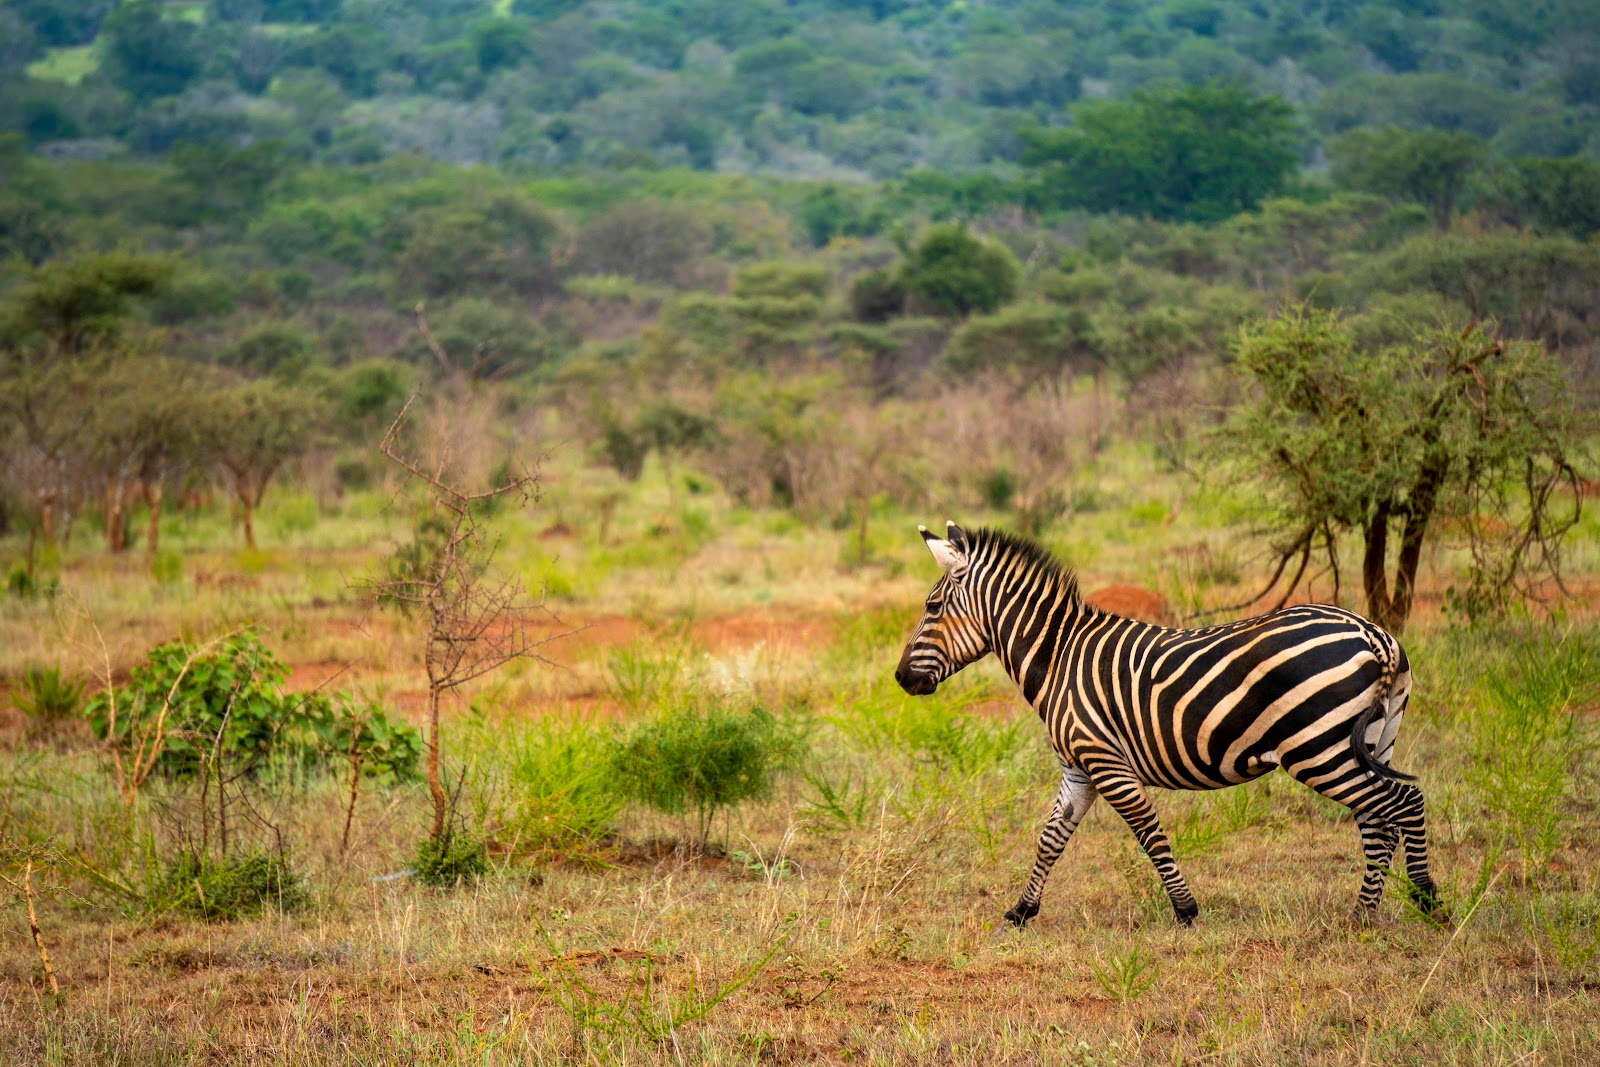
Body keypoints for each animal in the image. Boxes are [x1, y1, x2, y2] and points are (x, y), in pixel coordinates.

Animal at [896, 524, 1446, 927]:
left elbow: (1148, 831)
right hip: (1371, 742)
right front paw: (1022, 911)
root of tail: (1374, 634)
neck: (1058, 657)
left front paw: (1185, 910)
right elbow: (1051, 837)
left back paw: (1426, 900)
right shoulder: (1078, 766)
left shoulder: (1105, 760)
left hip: (1319, 749)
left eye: (931, 607)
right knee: (1380, 821)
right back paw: (1363, 916)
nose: (901, 678)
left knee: (1403, 804)